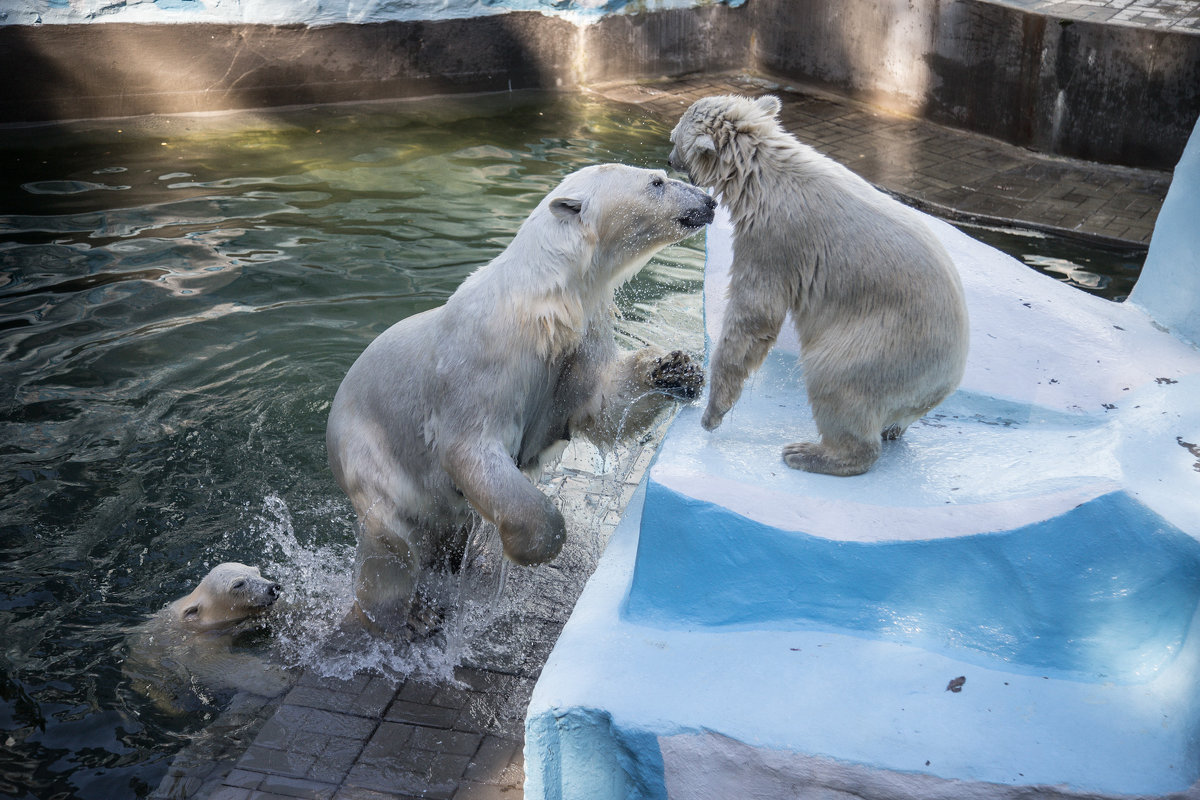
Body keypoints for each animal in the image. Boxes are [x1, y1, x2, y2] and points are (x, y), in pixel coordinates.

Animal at [125, 563, 289, 714]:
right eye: (238, 584)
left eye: (257, 571)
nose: (273, 588)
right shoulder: (196, 641)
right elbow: (212, 662)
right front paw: (277, 679)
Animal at [326, 164, 710, 638]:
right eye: (657, 181)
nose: (710, 200)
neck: (541, 302)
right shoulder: (485, 360)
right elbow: (469, 449)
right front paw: (528, 547)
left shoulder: (577, 344)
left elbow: (602, 405)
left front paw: (677, 369)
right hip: (371, 458)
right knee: (392, 549)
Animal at [672, 97, 969, 479]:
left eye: (673, 140)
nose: (668, 159)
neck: (760, 169)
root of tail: (948, 378)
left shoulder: (773, 238)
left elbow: (754, 317)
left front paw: (713, 413)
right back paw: (889, 430)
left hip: (888, 347)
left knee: (835, 377)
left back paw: (809, 453)